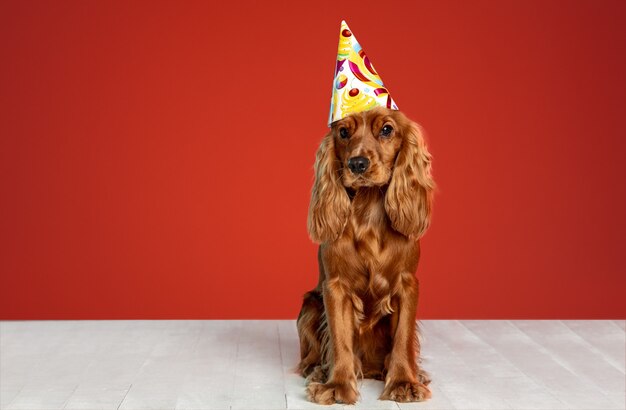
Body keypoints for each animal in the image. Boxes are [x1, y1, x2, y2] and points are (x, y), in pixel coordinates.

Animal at [294, 105, 432, 404]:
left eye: (387, 129)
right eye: (344, 132)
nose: (357, 164)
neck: (369, 211)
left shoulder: (407, 284)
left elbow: (403, 337)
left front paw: (404, 382)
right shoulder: (336, 287)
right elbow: (339, 338)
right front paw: (336, 385)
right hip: (310, 305)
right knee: (312, 354)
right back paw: (317, 371)